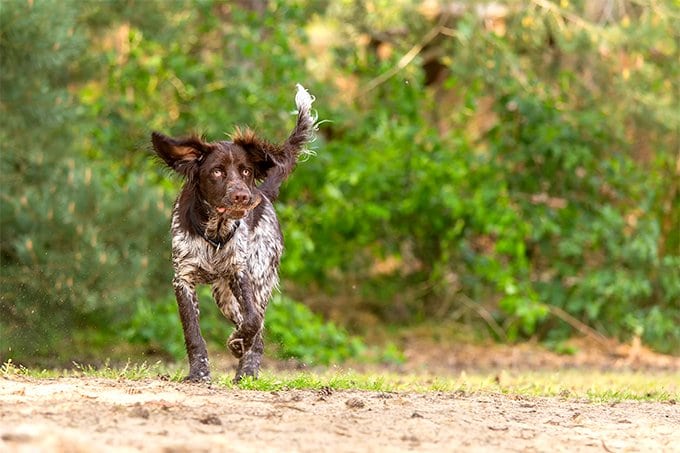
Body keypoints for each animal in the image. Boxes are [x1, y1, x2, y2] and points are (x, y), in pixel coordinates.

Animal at [151, 84, 316, 382]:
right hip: (224, 295)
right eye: (217, 171)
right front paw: (200, 373)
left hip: (258, 278)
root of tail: (263, 193)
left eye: (246, 171)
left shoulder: (241, 272)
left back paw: (246, 370)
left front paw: (237, 344)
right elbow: (193, 334)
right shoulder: (183, 279)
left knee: (257, 330)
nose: (243, 196)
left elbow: (252, 322)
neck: (214, 234)